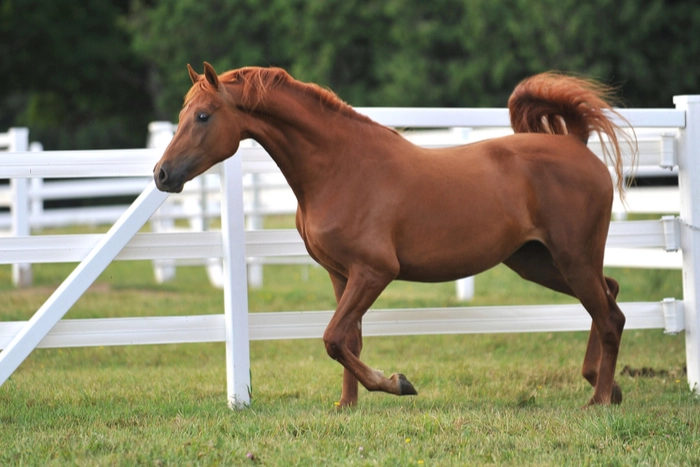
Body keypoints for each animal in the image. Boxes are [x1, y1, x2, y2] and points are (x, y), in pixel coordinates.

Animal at [154, 62, 633, 408]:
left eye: (202, 116)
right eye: (181, 115)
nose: (162, 175)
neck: (340, 168)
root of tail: (576, 144)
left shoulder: (374, 271)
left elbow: (332, 338)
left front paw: (398, 383)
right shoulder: (341, 274)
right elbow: (348, 339)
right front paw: (346, 406)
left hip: (571, 257)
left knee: (609, 315)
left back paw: (598, 399)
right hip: (538, 261)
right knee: (609, 296)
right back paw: (603, 384)